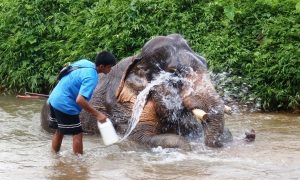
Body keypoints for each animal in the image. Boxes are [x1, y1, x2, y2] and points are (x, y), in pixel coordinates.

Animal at [40, 34, 253, 150]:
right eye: (174, 73)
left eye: (206, 63)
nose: (250, 132)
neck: (138, 59)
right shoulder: (125, 105)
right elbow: (140, 138)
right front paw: (187, 146)